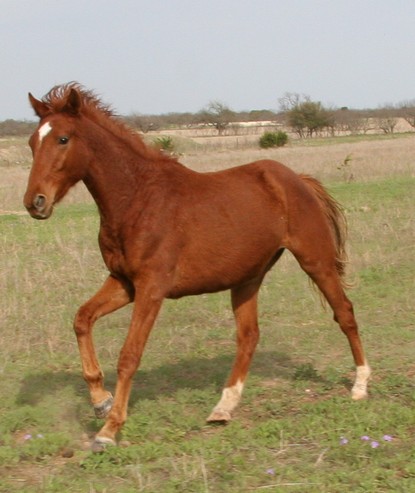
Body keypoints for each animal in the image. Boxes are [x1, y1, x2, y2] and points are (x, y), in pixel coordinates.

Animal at [24, 83, 370, 452]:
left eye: (63, 139)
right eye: (32, 142)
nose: (35, 202)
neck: (138, 199)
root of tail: (298, 180)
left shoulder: (151, 288)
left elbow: (129, 355)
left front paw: (109, 429)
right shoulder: (123, 282)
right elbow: (82, 319)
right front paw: (100, 400)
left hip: (316, 261)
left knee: (344, 313)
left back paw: (360, 385)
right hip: (247, 278)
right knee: (248, 336)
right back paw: (223, 408)